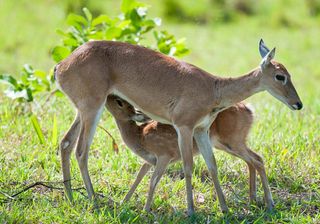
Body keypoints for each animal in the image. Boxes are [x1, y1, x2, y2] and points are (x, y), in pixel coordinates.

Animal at [106, 94, 272, 212]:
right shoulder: (149, 160)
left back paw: (269, 204)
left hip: (233, 140)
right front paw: (123, 202)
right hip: (226, 143)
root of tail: (250, 110)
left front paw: (145, 210)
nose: (108, 95)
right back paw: (253, 199)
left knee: (257, 159)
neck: (140, 136)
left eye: (120, 102)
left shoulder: (164, 155)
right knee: (252, 160)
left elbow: (153, 180)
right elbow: (138, 177)